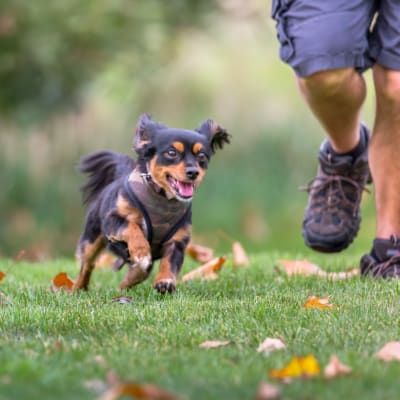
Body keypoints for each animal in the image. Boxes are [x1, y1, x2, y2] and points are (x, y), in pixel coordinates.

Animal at [73, 113, 230, 294]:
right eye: (171, 153)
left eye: (202, 156)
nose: (193, 172)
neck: (162, 198)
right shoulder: (112, 220)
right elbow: (131, 227)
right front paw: (141, 250)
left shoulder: (178, 240)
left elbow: (170, 262)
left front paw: (164, 281)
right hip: (91, 240)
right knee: (88, 264)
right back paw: (78, 288)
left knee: (140, 271)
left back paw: (127, 283)